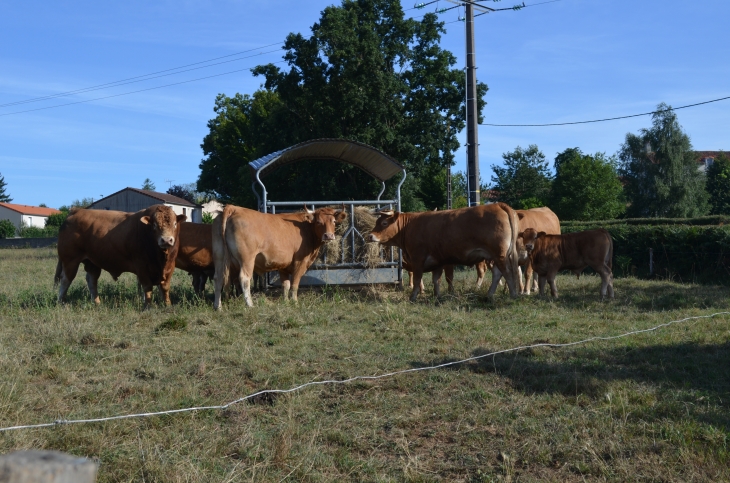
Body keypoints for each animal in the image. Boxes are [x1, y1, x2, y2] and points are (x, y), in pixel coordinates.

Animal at [54, 205, 185, 306]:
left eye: (174, 224)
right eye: (154, 225)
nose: (166, 240)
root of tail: (76, 210)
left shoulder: (170, 266)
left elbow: (165, 287)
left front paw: (167, 305)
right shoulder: (142, 267)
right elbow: (147, 287)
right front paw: (149, 306)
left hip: (92, 262)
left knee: (92, 280)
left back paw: (97, 302)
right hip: (70, 260)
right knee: (66, 280)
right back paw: (61, 302)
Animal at [212, 204, 346, 310]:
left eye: (333, 221)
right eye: (318, 222)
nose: (329, 236)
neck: (306, 228)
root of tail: (234, 208)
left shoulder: (283, 266)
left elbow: (285, 285)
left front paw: (285, 302)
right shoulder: (300, 262)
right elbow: (294, 284)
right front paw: (295, 302)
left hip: (219, 257)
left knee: (218, 279)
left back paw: (218, 307)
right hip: (247, 258)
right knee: (244, 278)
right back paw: (250, 304)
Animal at [366, 202, 520, 300]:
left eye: (384, 223)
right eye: (376, 222)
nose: (370, 236)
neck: (409, 226)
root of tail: (497, 204)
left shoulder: (418, 258)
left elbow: (417, 279)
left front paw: (413, 297)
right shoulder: (438, 261)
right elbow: (436, 280)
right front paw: (437, 295)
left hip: (500, 254)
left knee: (507, 272)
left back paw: (513, 294)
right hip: (494, 256)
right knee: (497, 273)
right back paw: (489, 295)